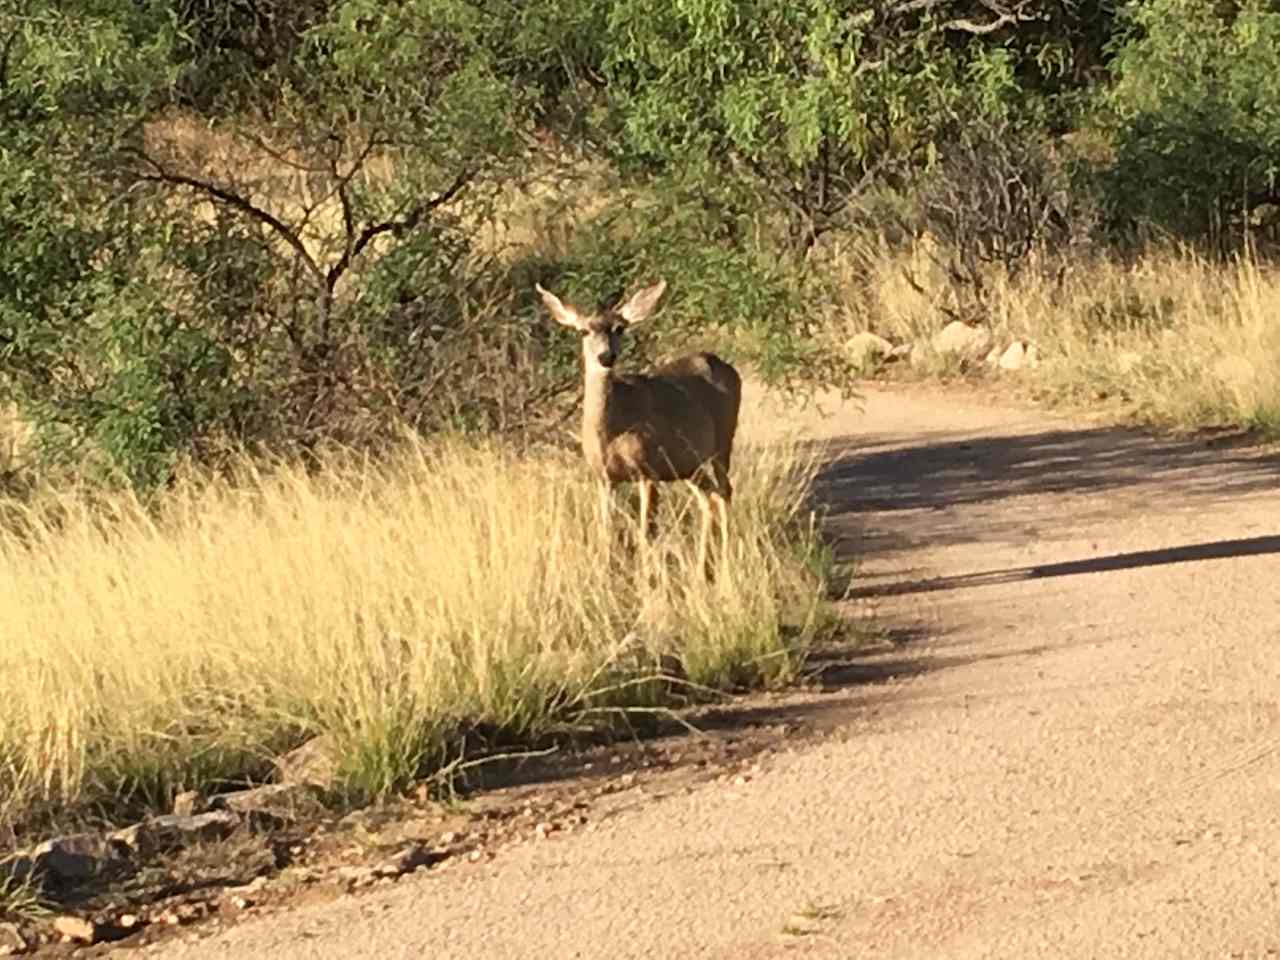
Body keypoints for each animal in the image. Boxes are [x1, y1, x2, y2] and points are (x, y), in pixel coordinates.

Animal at [535, 277, 747, 578]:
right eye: (583, 331)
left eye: (619, 328)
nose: (606, 356)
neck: (612, 432)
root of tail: (725, 365)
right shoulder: (605, 477)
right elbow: (607, 530)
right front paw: (607, 574)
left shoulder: (649, 469)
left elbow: (647, 532)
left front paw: (648, 580)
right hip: (688, 465)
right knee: (709, 497)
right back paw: (701, 569)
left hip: (723, 442)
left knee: (725, 491)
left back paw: (725, 565)